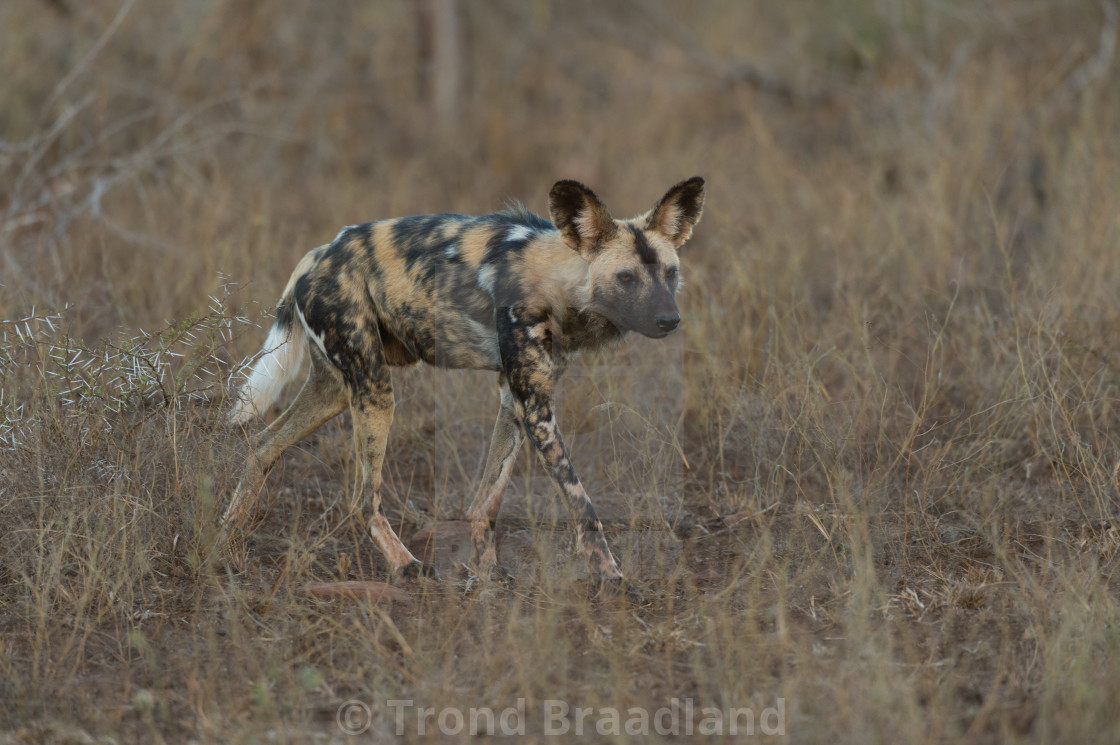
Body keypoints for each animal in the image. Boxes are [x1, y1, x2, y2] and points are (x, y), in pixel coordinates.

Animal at [222, 177, 703, 591]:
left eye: (670, 273)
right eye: (626, 278)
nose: (670, 320)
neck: (558, 279)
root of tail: (320, 252)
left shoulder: (515, 401)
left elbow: (485, 504)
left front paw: (487, 573)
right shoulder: (536, 409)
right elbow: (581, 503)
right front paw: (610, 577)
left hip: (336, 391)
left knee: (261, 447)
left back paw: (228, 539)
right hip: (375, 391)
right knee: (362, 499)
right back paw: (406, 566)